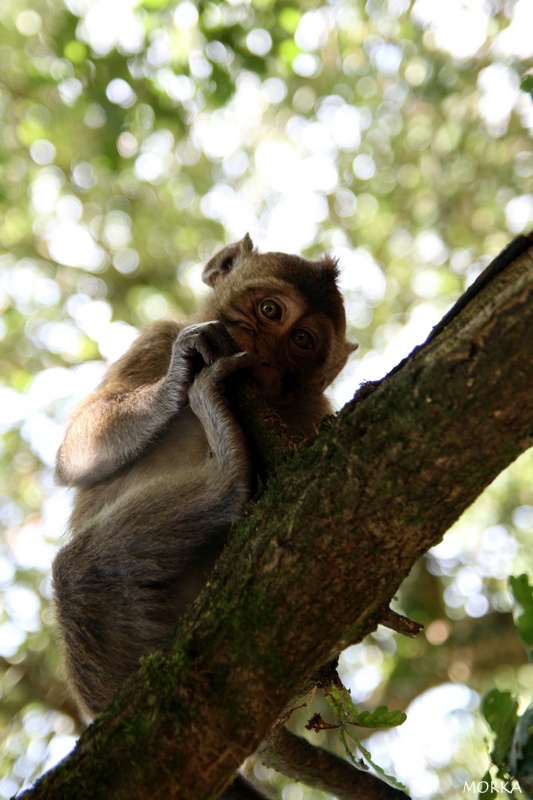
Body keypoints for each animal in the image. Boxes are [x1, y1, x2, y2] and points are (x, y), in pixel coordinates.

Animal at [52, 234, 356, 796]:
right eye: (269, 310)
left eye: (302, 341)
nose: (265, 349)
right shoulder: (157, 337)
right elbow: (77, 452)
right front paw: (179, 374)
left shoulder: (314, 413)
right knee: (81, 576)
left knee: (81, 572)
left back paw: (227, 480)